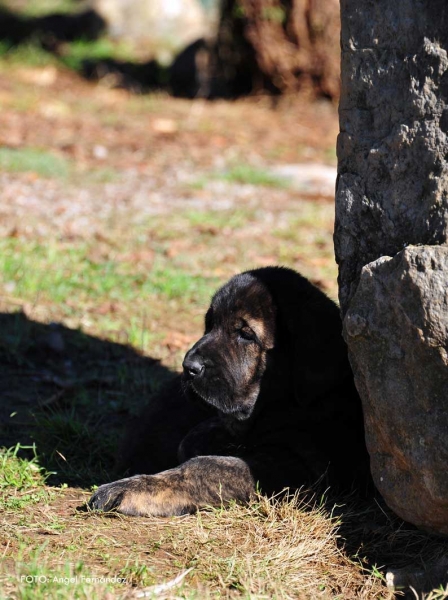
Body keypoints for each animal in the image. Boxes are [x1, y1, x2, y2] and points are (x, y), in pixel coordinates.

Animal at [89, 268, 370, 516]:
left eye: (246, 334)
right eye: (210, 325)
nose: (188, 367)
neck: (283, 404)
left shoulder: (300, 465)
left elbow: (206, 466)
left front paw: (133, 488)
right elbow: (195, 440)